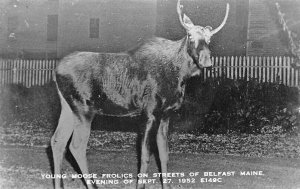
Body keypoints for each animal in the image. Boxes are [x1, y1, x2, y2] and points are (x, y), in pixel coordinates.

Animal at [51, 0, 230, 188]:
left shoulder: (166, 114)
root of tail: (55, 71)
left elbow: (164, 154)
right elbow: (145, 156)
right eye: (190, 35)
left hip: (68, 107)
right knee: (76, 146)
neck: (180, 76)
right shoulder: (149, 112)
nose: (206, 59)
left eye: (209, 38)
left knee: (57, 141)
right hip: (83, 108)